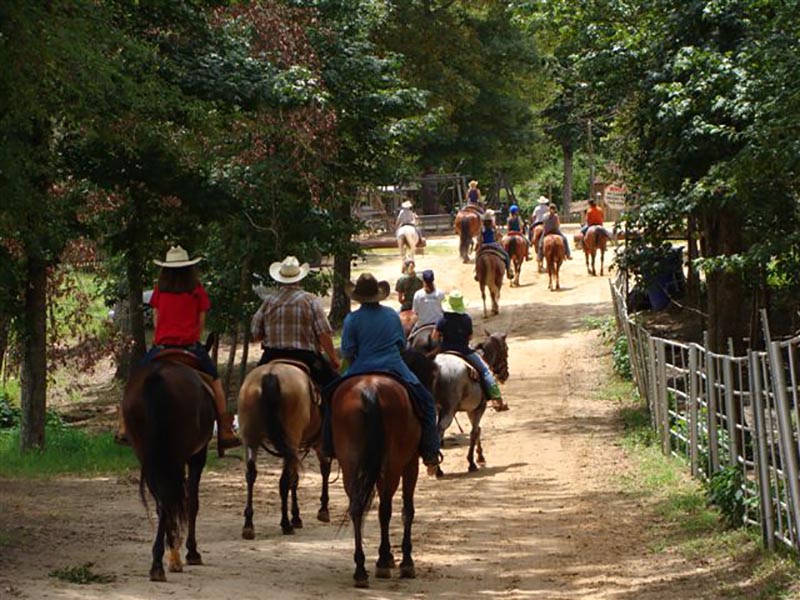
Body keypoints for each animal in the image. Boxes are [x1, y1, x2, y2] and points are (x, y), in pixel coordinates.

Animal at [121, 342, 216, 580]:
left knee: (162, 500)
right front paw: (190, 552)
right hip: (176, 455)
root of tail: (156, 378)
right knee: (171, 499)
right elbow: (191, 502)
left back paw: (160, 560)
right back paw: (163, 562)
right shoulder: (196, 457)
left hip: (148, 456)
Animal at [236, 360, 330, 540]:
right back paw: (286, 524)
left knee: (251, 475)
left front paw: (297, 516)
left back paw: (248, 525)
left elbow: (296, 478)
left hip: (251, 439)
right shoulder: (318, 444)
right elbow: (321, 471)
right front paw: (320, 511)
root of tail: (270, 375)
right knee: (284, 481)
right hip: (291, 440)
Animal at [330, 350, 438, 588]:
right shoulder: (410, 465)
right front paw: (403, 561)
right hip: (393, 466)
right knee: (385, 509)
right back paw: (383, 563)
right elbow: (407, 510)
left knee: (356, 507)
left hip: (350, 463)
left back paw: (360, 570)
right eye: (431, 376)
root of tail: (369, 390)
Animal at [434, 330, 510, 476]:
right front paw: (472, 462)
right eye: (506, 349)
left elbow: (477, 430)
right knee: (439, 431)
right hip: (448, 410)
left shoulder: (470, 409)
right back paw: (437, 469)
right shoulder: (479, 408)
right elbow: (474, 432)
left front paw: (480, 457)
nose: (505, 375)